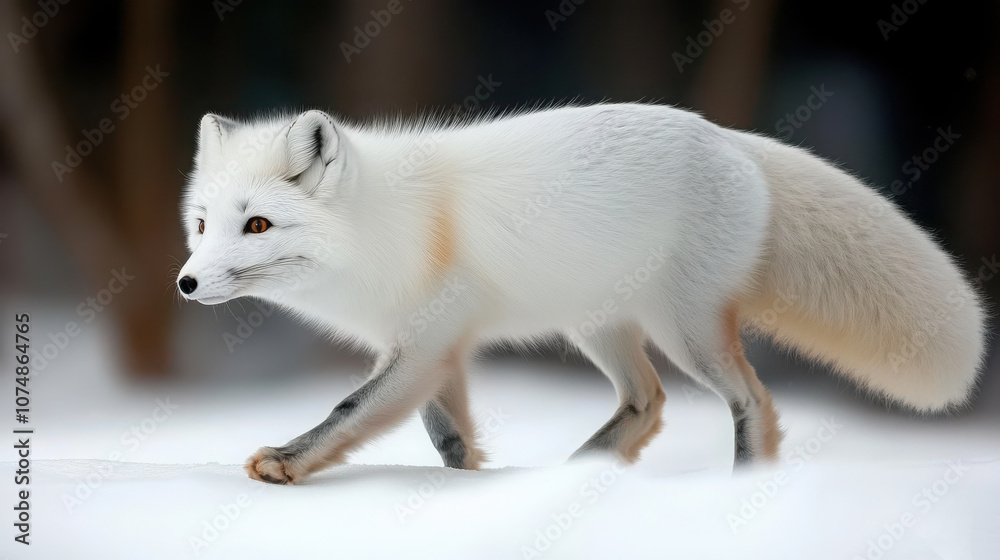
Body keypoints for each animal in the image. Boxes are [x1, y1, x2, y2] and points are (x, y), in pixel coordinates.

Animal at [177, 103, 986, 485]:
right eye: (203, 224)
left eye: (257, 224)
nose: (184, 282)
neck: (392, 227)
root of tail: (731, 139)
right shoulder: (431, 349)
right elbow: (447, 436)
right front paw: (467, 485)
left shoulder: (425, 342)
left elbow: (349, 410)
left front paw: (287, 462)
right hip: (598, 326)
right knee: (648, 401)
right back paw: (579, 472)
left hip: (684, 328)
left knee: (751, 401)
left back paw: (738, 480)